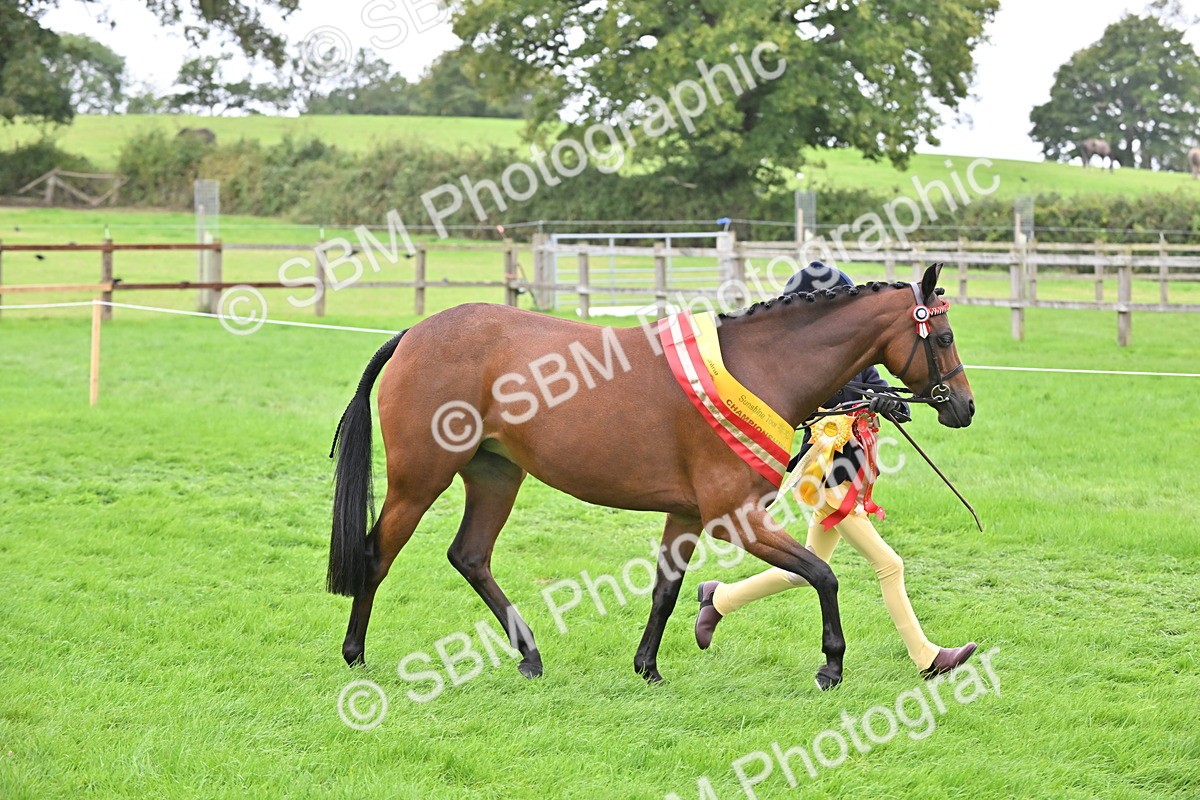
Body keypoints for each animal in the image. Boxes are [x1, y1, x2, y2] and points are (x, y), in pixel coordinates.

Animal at [326, 264, 975, 690]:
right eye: (943, 337)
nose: (963, 407)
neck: (760, 367)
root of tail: (413, 333)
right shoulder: (735, 520)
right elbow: (822, 574)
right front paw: (831, 665)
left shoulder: (685, 516)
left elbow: (666, 590)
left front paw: (648, 667)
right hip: (420, 480)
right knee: (377, 553)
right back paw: (354, 654)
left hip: (495, 476)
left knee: (469, 555)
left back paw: (530, 655)